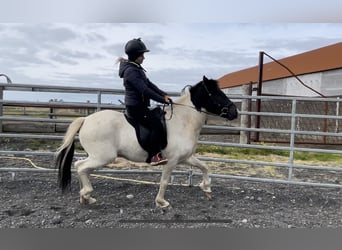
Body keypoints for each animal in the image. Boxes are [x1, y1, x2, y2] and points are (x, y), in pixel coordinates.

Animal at [56, 75, 238, 208]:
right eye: (216, 93)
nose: (234, 112)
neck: (184, 120)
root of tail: (86, 119)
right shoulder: (172, 160)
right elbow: (164, 181)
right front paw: (162, 202)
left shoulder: (186, 158)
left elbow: (204, 167)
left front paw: (207, 188)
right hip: (103, 157)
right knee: (81, 167)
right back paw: (86, 194)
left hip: (96, 157)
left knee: (80, 166)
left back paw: (86, 198)